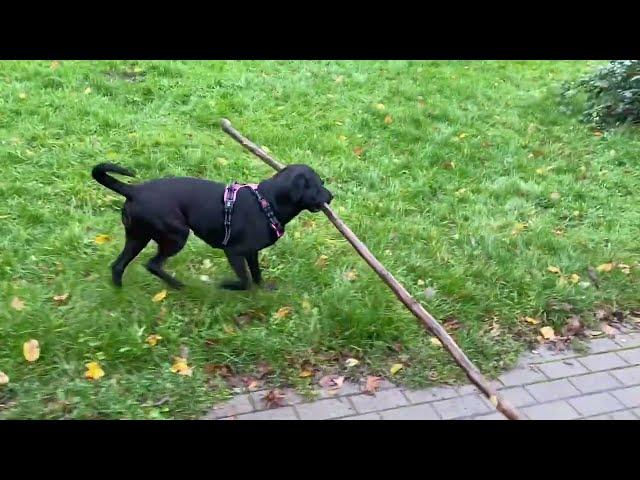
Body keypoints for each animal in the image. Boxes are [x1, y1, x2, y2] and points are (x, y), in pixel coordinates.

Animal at [92, 163, 332, 288]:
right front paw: (225, 285)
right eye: (319, 184)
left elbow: (256, 276)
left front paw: (263, 289)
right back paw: (179, 286)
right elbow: (245, 281)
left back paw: (120, 296)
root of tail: (134, 190)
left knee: (118, 266)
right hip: (176, 235)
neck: (267, 202)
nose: (332, 196)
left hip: (137, 237)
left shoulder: (251, 253)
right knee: (153, 264)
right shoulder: (233, 252)